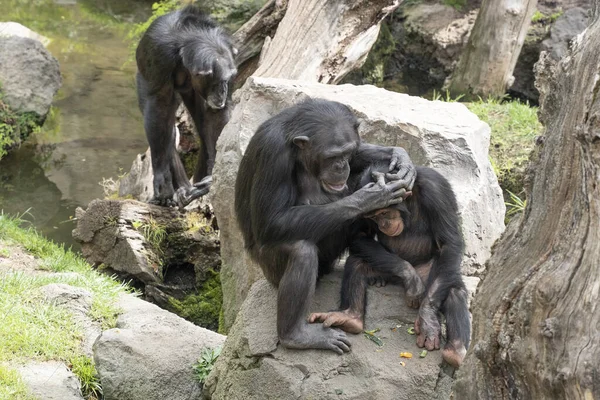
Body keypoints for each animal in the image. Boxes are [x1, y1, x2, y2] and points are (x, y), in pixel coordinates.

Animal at [136, 5, 237, 206]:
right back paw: (179, 190)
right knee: (166, 125)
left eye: (228, 79)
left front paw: (212, 178)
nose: (223, 89)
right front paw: (162, 180)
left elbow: (215, 115)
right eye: (218, 81)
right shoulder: (160, 56)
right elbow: (159, 107)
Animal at [234, 99, 418, 354]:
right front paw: (370, 197)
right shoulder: (273, 154)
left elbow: (363, 157)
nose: (341, 166)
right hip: (270, 269)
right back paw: (296, 336)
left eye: (347, 152)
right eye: (331, 157)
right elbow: (272, 219)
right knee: (301, 252)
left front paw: (400, 157)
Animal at [310, 163, 474, 368]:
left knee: (453, 291)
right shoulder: (360, 198)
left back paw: (455, 353)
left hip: (432, 272)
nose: (383, 224)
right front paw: (411, 278)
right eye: (372, 216)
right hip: (386, 271)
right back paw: (350, 317)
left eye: (384, 212)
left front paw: (428, 320)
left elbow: (448, 243)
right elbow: (360, 236)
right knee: (356, 263)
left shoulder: (436, 190)